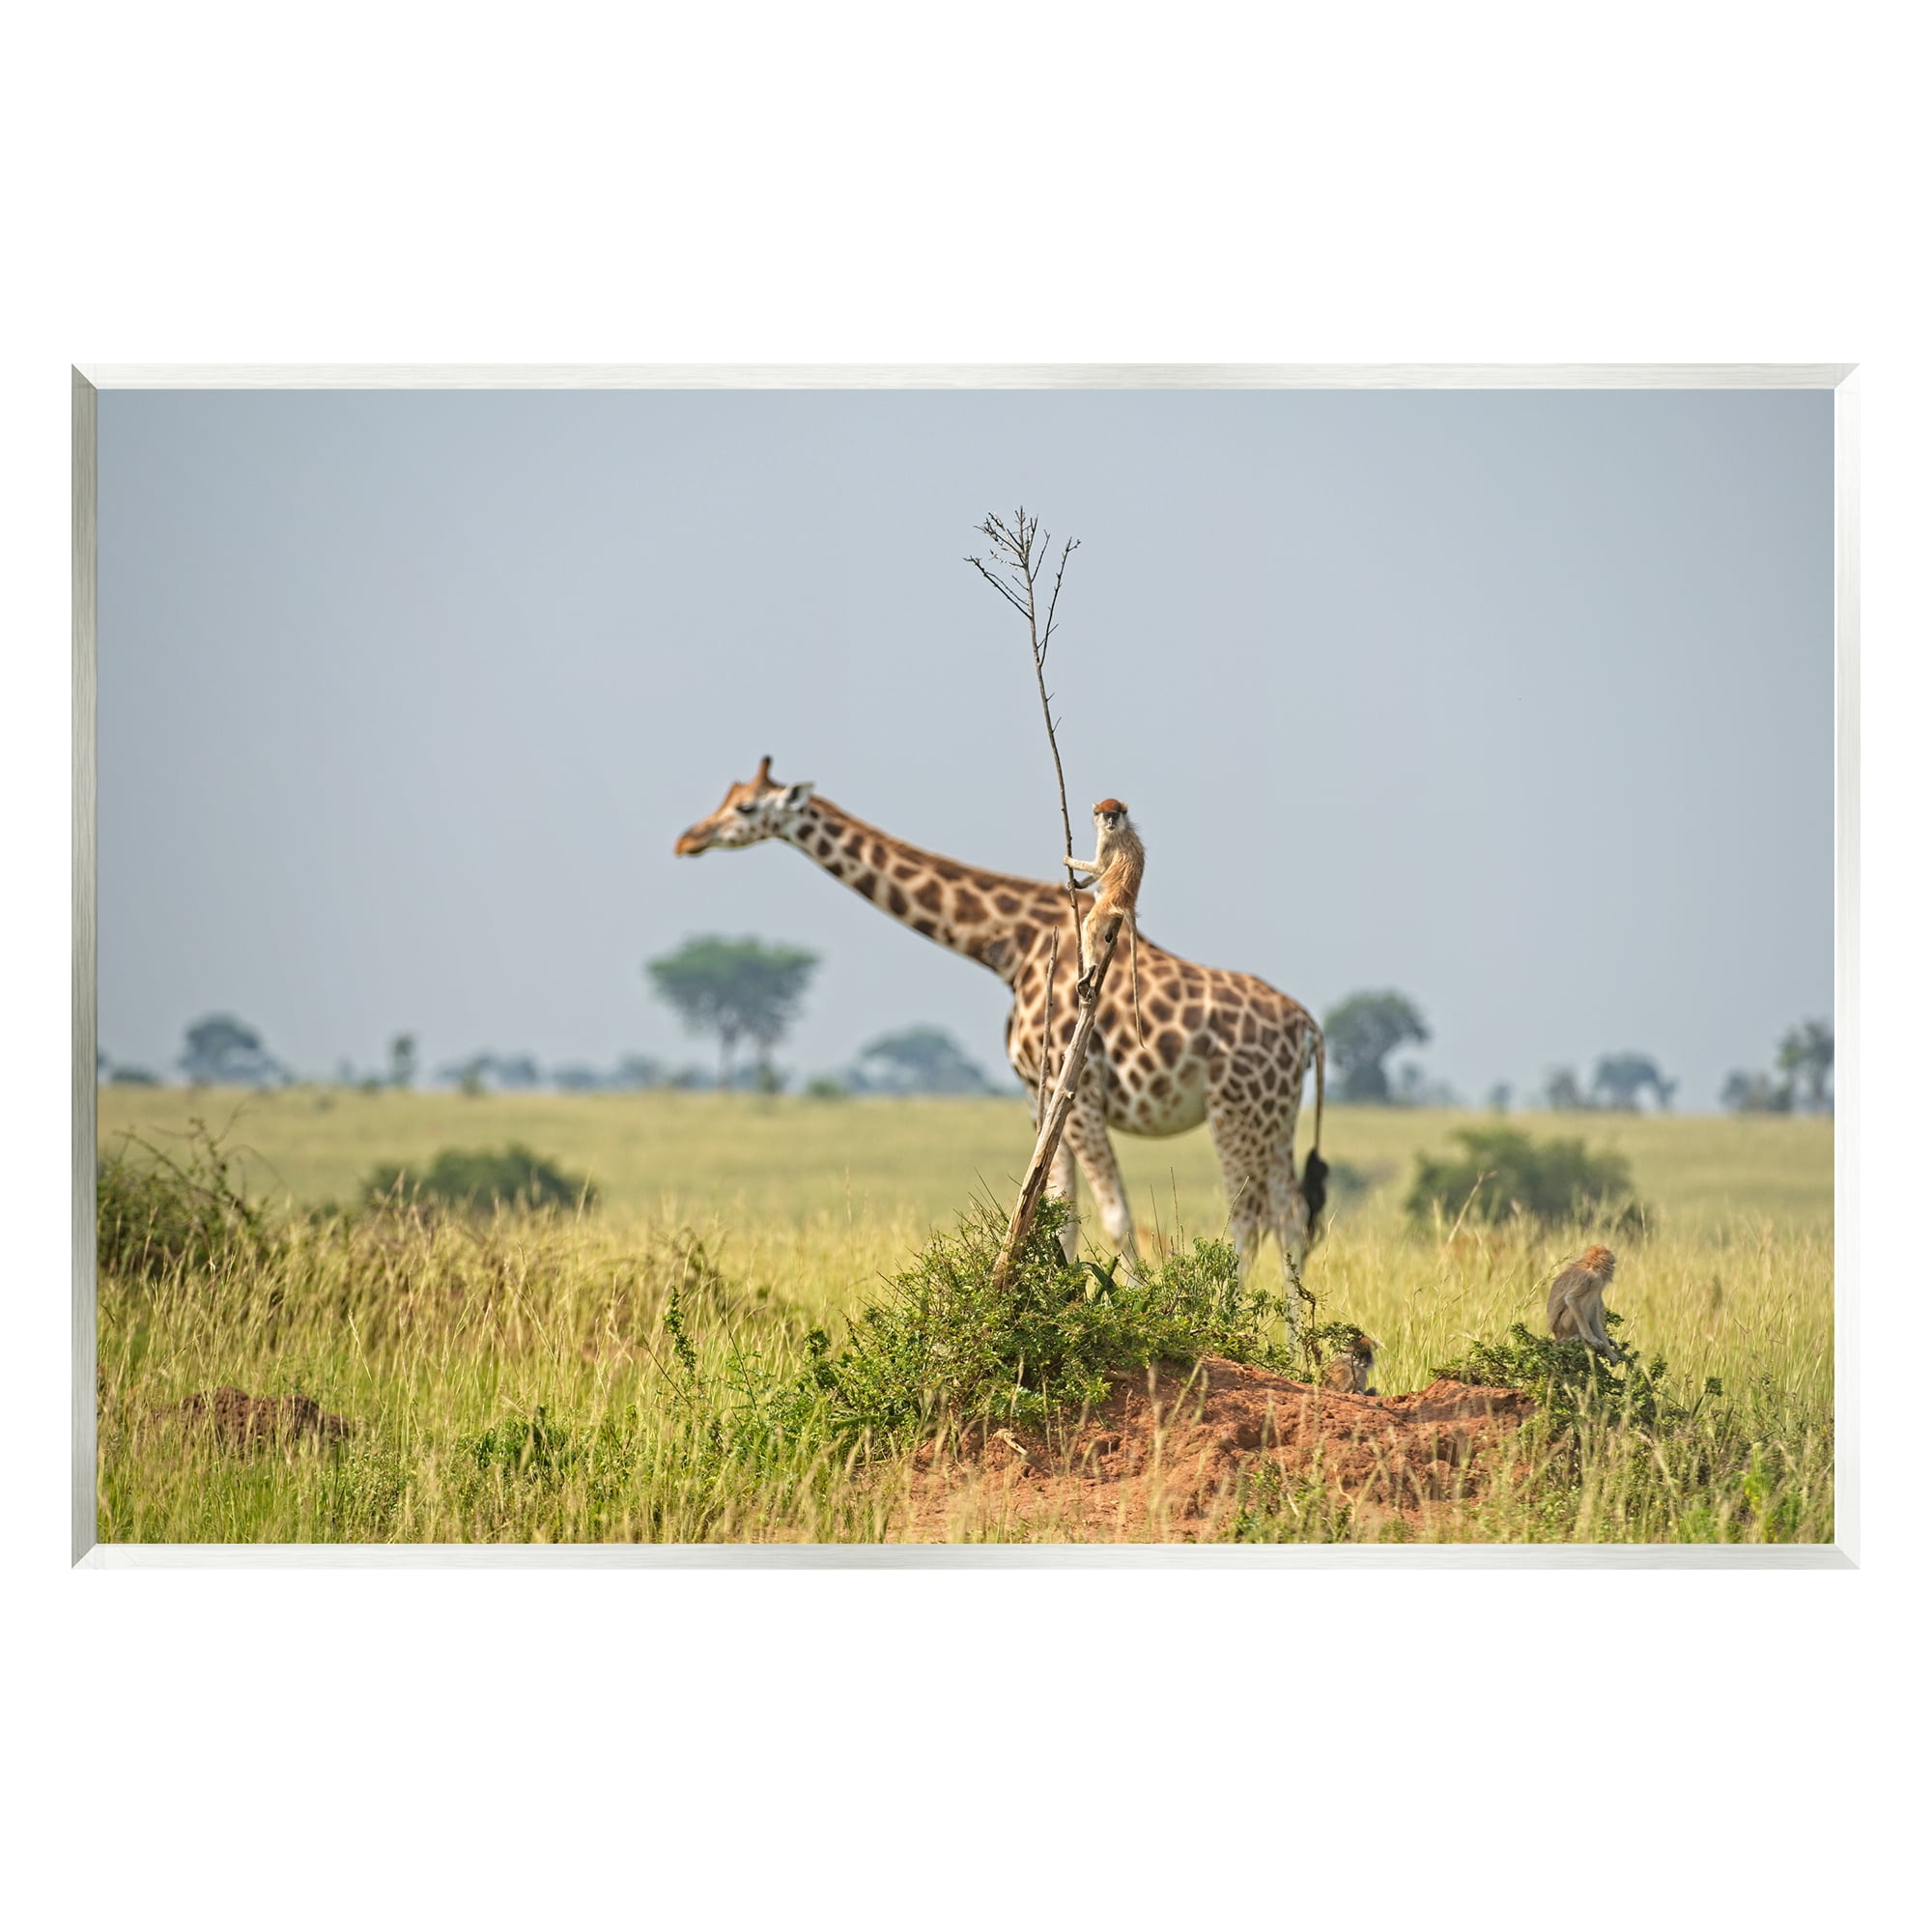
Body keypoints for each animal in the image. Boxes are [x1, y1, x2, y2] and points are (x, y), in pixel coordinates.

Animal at [1065, 798, 1146, 1030]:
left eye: (1115, 814)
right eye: (1107, 814)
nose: (1110, 821)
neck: (1121, 828)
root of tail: (1126, 902)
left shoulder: (1107, 841)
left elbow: (1100, 867)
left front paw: (1069, 861)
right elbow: (1100, 871)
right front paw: (1077, 884)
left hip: (1108, 903)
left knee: (1090, 924)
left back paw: (1090, 971)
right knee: (1099, 893)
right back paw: (1111, 931)